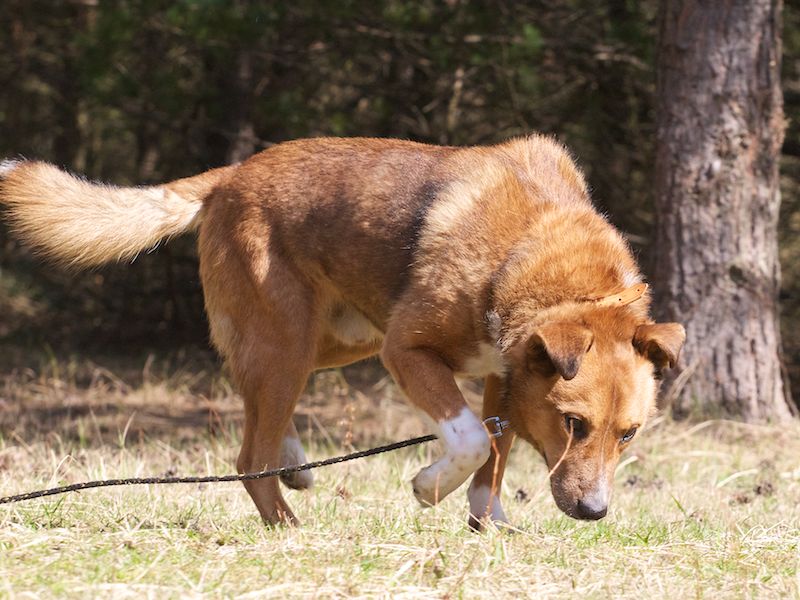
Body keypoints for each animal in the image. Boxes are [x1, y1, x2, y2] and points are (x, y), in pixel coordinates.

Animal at [0, 135, 685, 528]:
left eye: (629, 434)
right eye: (574, 424)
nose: (595, 513)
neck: (535, 261)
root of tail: (230, 175)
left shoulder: (505, 375)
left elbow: (493, 455)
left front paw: (486, 522)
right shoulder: (409, 351)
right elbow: (469, 440)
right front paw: (430, 486)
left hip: (331, 342)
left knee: (254, 400)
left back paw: (294, 460)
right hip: (299, 340)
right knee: (248, 457)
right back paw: (290, 528)